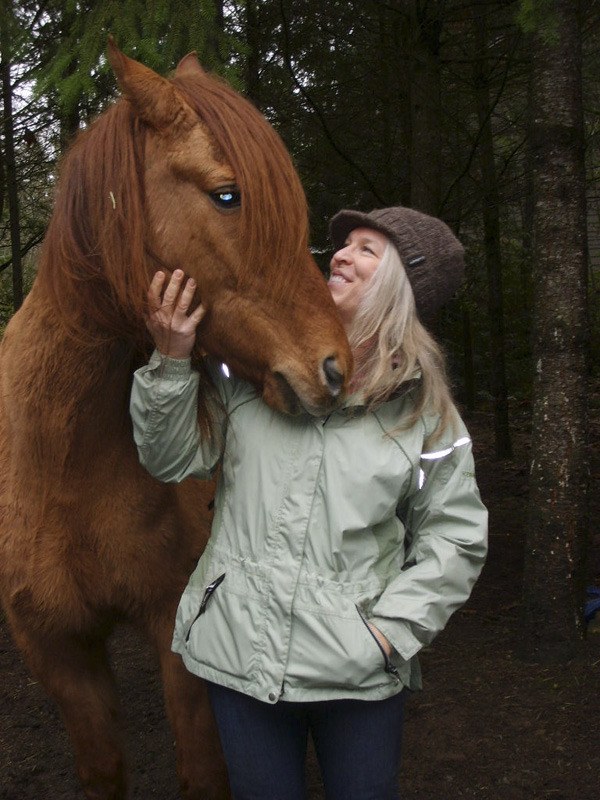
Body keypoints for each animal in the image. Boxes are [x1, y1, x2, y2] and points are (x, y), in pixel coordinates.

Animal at [0, 42, 352, 800]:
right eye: (227, 194)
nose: (338, 369)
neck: (62, 457)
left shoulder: (178, 627)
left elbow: (204, 772)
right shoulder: (56, 649)